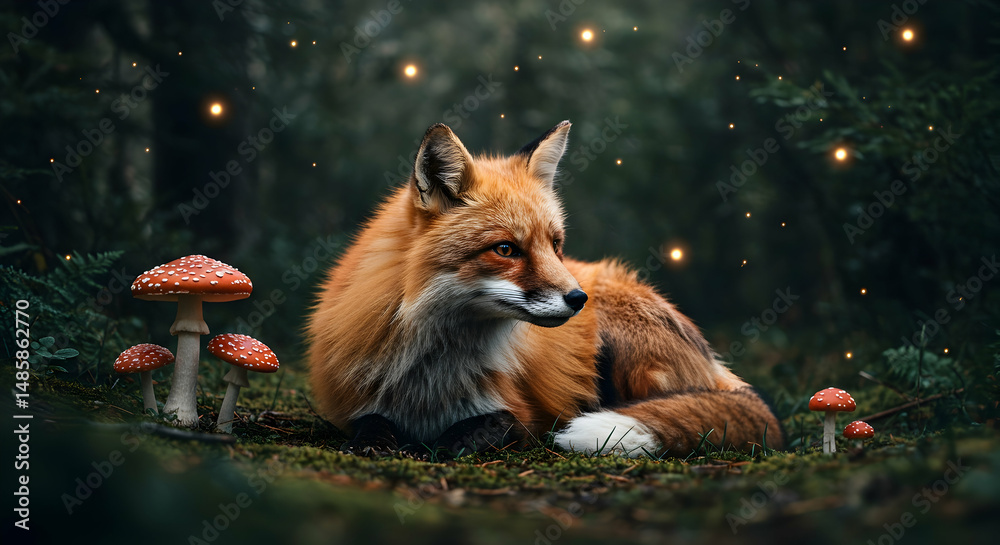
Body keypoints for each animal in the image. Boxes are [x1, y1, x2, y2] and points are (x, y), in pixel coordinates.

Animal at [306, 121, 783, 458]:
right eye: (505, 249)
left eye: (555, 245)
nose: (577, 299)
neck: (431, 373)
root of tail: (714, 362)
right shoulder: (351, 401)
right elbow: (370, 422)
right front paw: (378, 441)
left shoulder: (524, 413)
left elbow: (491, 424)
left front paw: (441, 444)